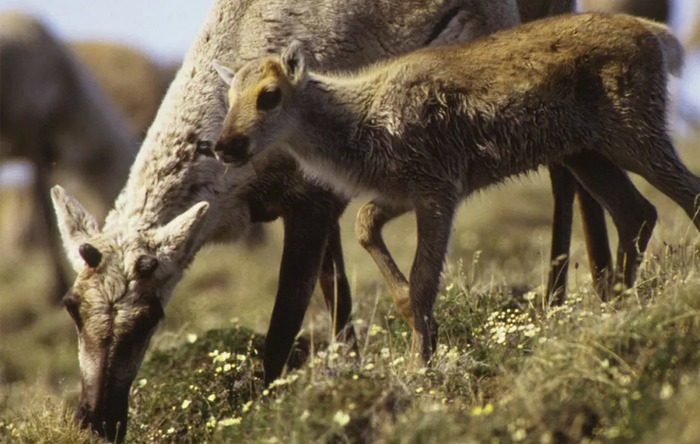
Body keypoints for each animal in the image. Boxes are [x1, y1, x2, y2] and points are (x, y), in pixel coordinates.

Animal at [213, 13, 700, 364]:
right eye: (229, 97)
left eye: (269, 94)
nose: (225, 146)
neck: (361, 127)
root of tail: (656, 35)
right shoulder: (400, 193)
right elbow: (367, 230)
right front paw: (418, 338)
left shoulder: (438, 190)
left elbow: (425, 281)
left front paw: (420, 368)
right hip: (586, 153)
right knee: (638, 212)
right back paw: (617, 304)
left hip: (634, 134)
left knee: (686, 193)